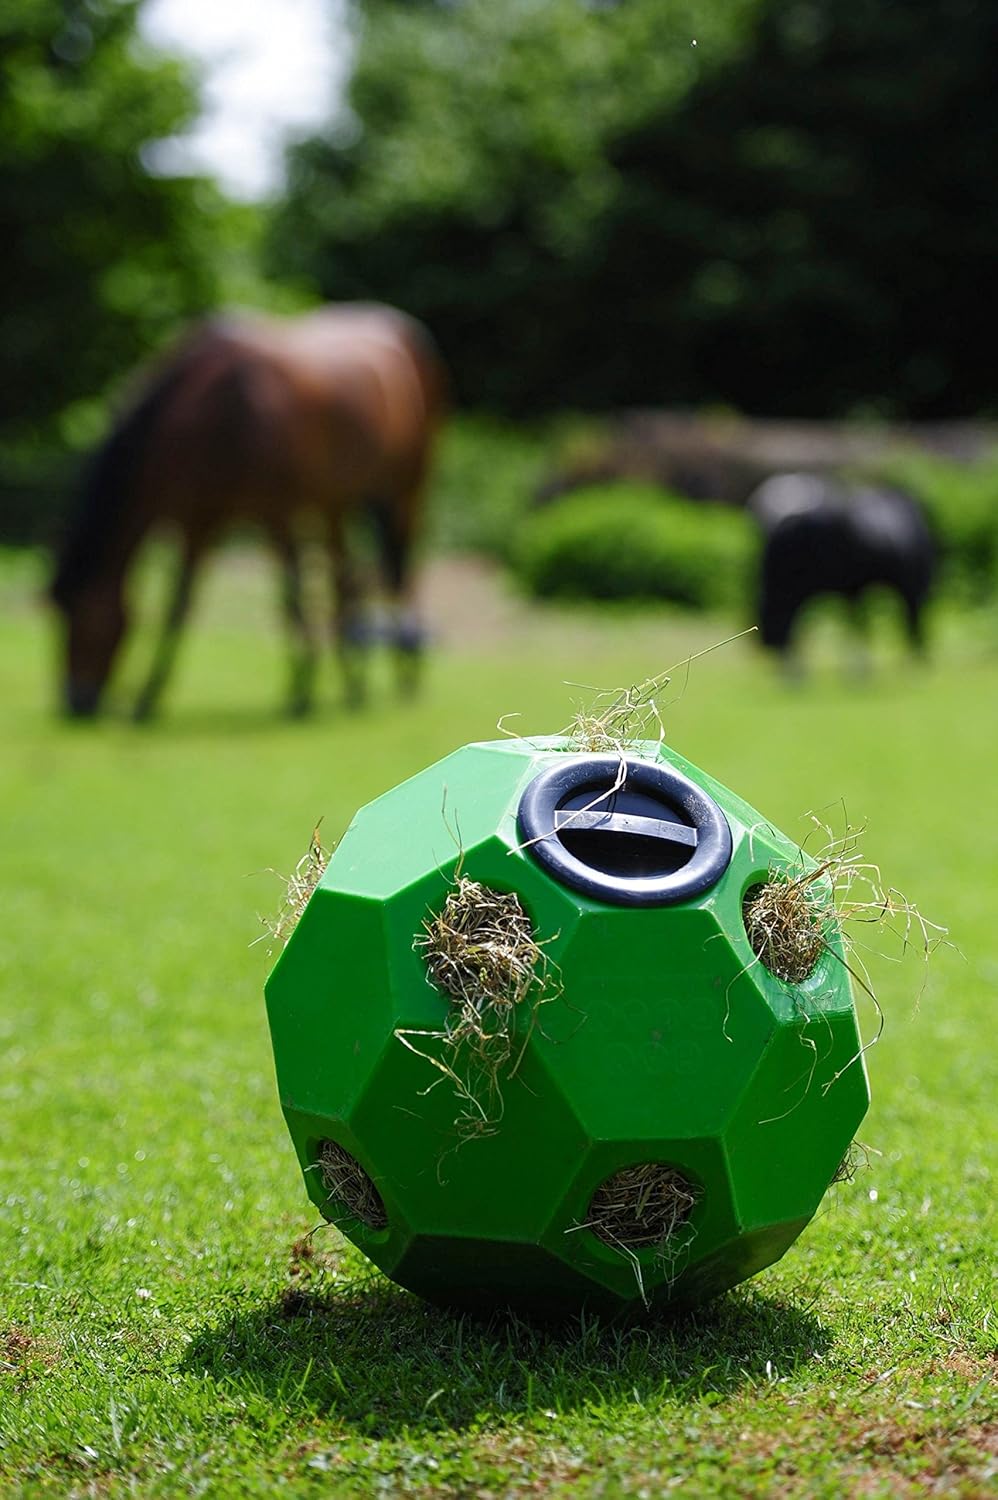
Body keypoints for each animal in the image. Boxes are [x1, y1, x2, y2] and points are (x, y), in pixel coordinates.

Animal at [49, 303, 447, 719]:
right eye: (56, 610)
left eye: (81, 614)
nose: (75, 702)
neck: (216, 410)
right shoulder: (197, 523)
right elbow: (182, 603)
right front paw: (149, 696)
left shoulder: (277, 514)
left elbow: (290, 597)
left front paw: (301, 691)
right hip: (336, 503)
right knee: (346, 581)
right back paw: (354, 686)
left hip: (408, 491)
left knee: (402, 571)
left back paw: (404, 673)